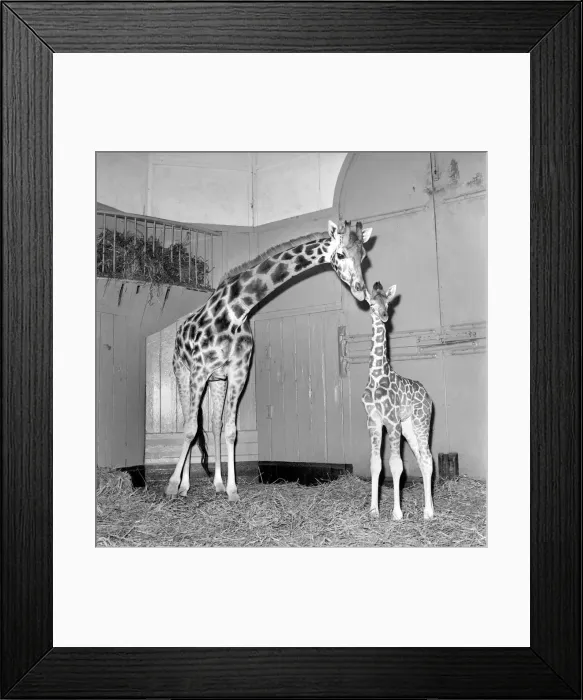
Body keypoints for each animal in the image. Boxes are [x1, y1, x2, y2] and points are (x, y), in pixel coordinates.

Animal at [165, 220, 373, 501]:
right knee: (190, 421)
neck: (236, 311)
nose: (361, 293)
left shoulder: (237, 373)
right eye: (340, 254)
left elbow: (230, 430)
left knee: (214, 425)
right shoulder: (198, 370)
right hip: (182, 371)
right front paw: (172, 485)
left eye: (363, 256)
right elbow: (189, 429)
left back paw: (216, 483)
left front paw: (232, 490)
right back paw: (184, 486)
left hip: (216, 381)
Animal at [361, 282, 434, 520]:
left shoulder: (391, 421)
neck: (376, 376)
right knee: (422, 458)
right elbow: (376, 464)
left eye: (388, 303)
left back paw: (429, 512)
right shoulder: (373, 421)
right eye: (371, 304)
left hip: (421, 421)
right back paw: (429, 507)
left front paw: (397, 513)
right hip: (408, 426)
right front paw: (374, 510)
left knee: (428, 458)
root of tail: (427, 395)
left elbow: (396, 464)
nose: (383, 316)